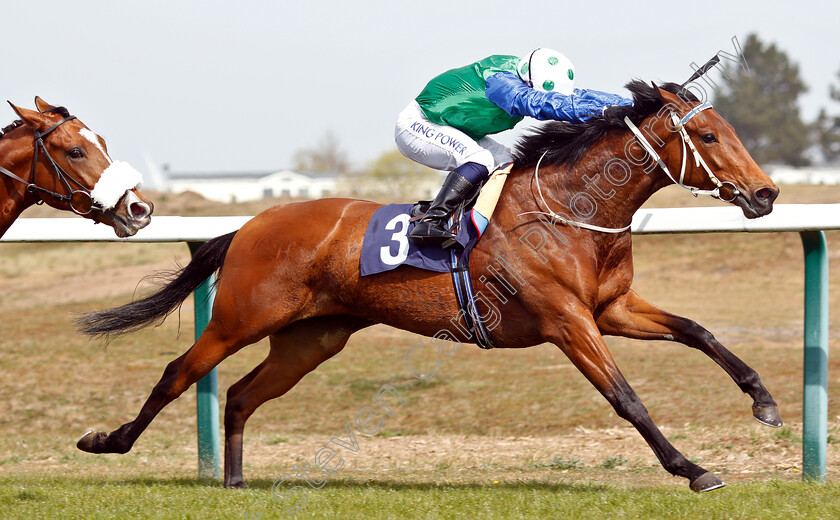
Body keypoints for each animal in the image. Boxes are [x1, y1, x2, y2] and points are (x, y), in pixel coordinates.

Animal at [77, 81, 780, 492]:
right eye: (709, 135)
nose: (767, 193)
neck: (567, 209)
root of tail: (250, 223)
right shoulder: (568, 322)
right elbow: (626, 398)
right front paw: (693, 470)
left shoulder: (611, 308)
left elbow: (698, 331)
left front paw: (764, 400)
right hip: (239, 319)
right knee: (178, 372)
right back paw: (109, 441)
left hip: (311, 339)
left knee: (242, 395)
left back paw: (235, 481)